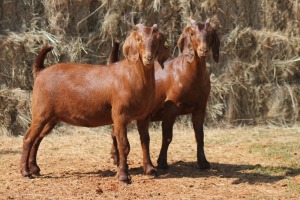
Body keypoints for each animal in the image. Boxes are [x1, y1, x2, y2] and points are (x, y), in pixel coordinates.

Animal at [19, 24, 168, 184]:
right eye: (139, 39)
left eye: (157, 39)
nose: (148, 58)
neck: (131, 76)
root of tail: (40, 72)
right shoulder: (119, 115)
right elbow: (124, 145)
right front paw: (123, 176)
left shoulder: (144, 116)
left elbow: (145, 141)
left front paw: (150, 170)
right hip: (40, 113)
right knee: (28, 138)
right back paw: (25, 172)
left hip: (51, 118)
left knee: (37, 139)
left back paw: (35, 168)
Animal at [109, 19, 219, 170]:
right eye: (192, 33)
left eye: (210, 33)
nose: (203, 50)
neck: (187, 74)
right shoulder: (171, 108)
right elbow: (167, 136)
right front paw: (161, 162)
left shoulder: (200, 108)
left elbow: (199, 136)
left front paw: (203, 163)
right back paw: (116, 158)